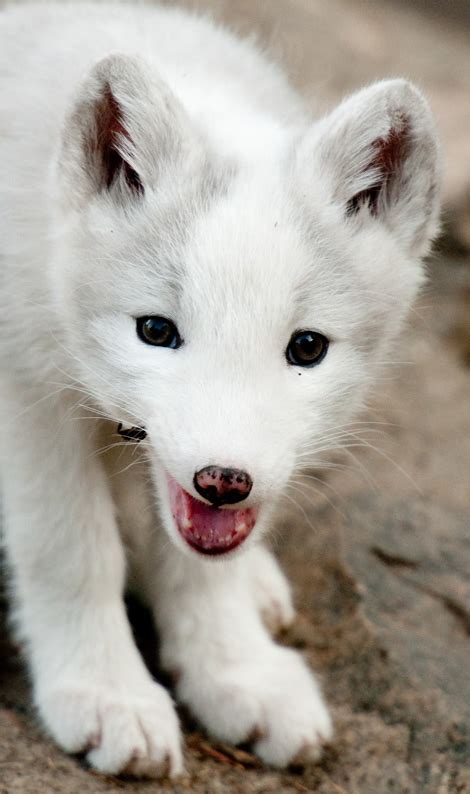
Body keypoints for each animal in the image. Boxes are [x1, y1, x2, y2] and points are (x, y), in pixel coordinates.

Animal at [0, 1, 440, 780]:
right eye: (155, 330)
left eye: (306, 348)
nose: (224, 480)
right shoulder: (28, 390)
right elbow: (70, 548)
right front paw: (106, 693)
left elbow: (201, 566)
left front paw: (236, 672)